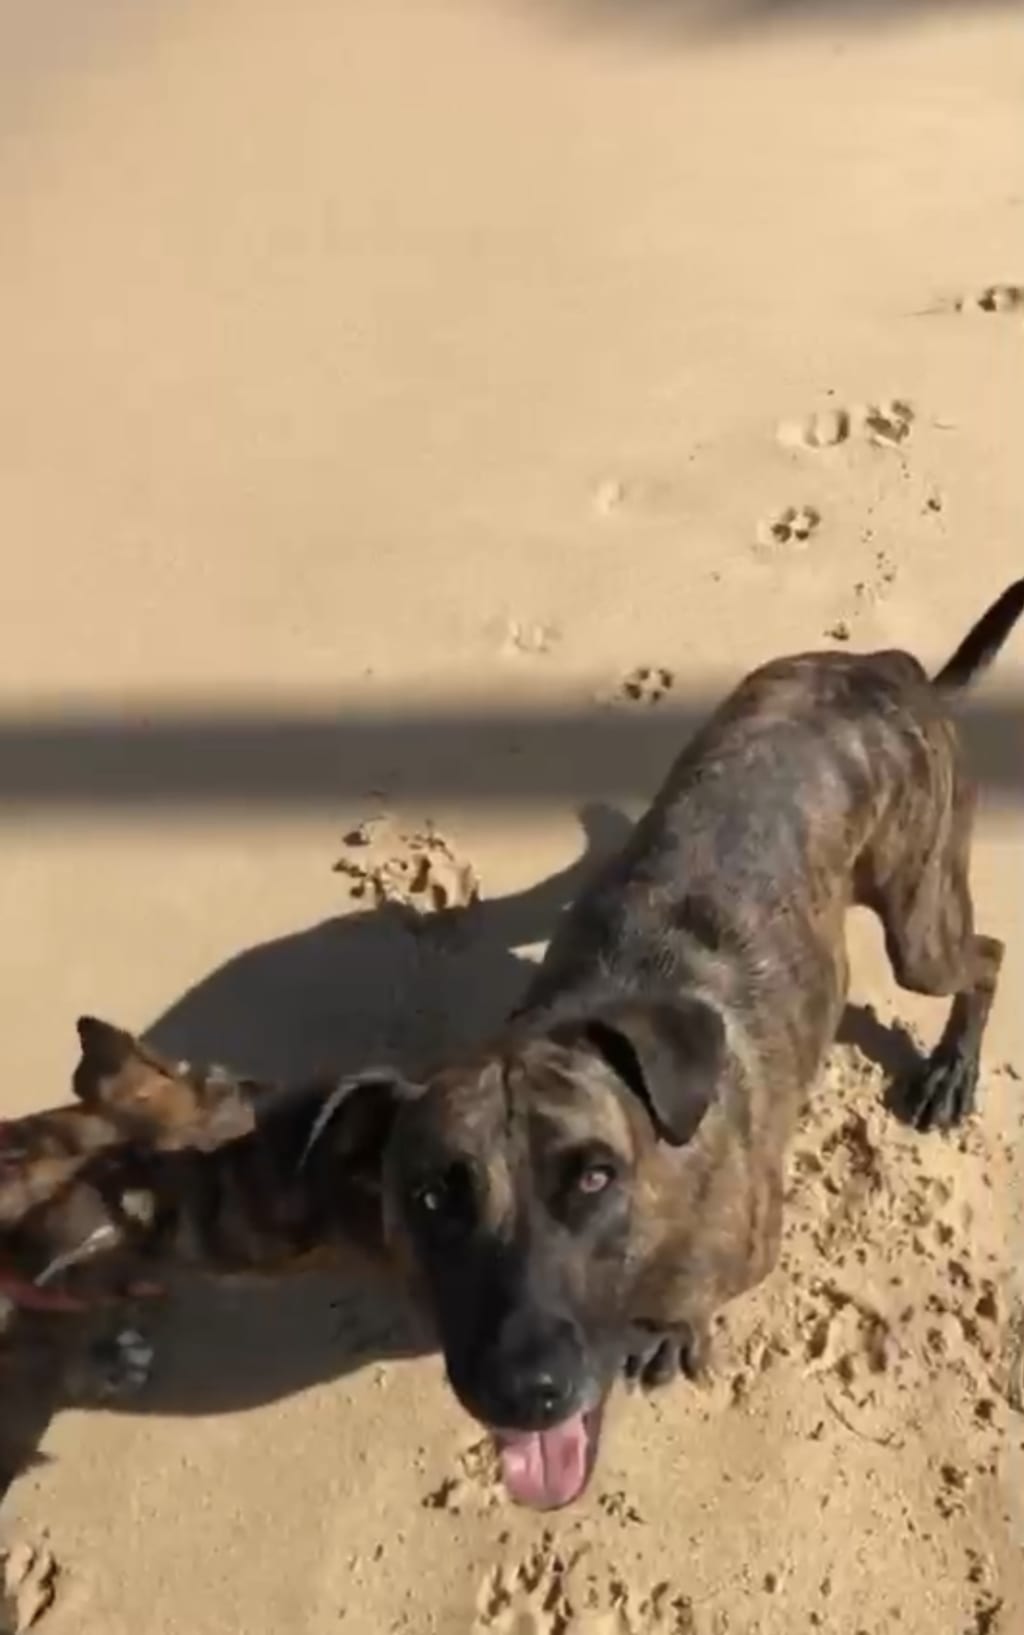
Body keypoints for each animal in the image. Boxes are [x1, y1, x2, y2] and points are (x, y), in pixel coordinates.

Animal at [305, 577, 1024, 1510]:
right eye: (432, 1196)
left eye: (595, 1176)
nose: (524, 1389)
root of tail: (893, 669)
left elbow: (693, 1301)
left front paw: (675, 1333)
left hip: (919, 923)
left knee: (984, 956)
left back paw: (951, 1070)